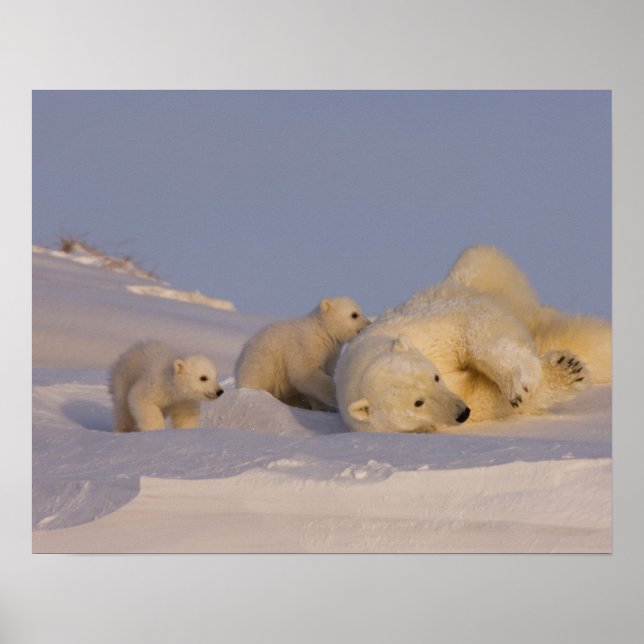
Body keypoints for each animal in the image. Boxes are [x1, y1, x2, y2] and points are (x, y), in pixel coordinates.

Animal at [234, 296, 370, 410]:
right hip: (261, 365)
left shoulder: (331, 354)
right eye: (354, 314)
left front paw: (321, 406)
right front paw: (333, 396)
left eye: (361, 311)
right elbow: (304, 372)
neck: (322, 332)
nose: (369, 324)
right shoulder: (307, 346)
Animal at [335, 245, 611, 433]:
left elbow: (471, 326)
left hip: (485, 277)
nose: (461, 412)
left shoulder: (423, 329)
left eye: (434, 377)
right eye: (417, 402)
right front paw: (566, 372)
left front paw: (522, 383)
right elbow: (484, 397)